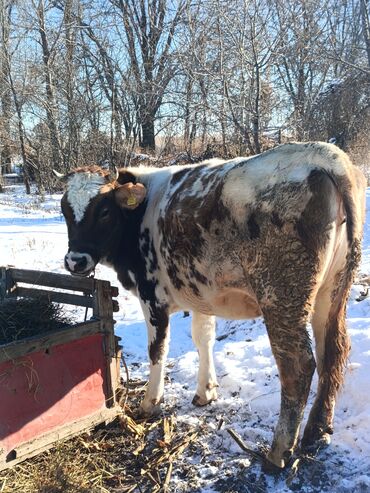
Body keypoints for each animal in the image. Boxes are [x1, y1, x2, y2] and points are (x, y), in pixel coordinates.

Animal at [55, 142, 368, 468]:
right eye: (65, 210)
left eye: (104, 211)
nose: (76, 260)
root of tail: (327, 155)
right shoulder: (201, 294)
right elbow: (203, 338)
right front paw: (206, 391)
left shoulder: (152, 294)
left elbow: (157, 350)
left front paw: (150, 402)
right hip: (332, 291)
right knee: (333, 351)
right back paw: (317, 431)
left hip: (282, 295)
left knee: (299, 365)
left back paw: (279, 450)